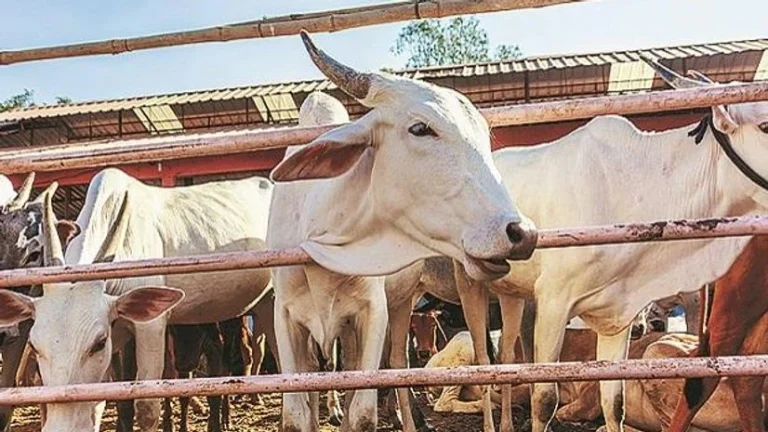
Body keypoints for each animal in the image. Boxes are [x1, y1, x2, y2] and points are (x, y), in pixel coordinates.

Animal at [268, 31, 536, 432]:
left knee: (396, 363)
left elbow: (362, 412)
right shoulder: (285, 317)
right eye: (421, 128)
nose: (521, 232)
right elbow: (296, 415)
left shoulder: (372, 311)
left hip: (401, 302)